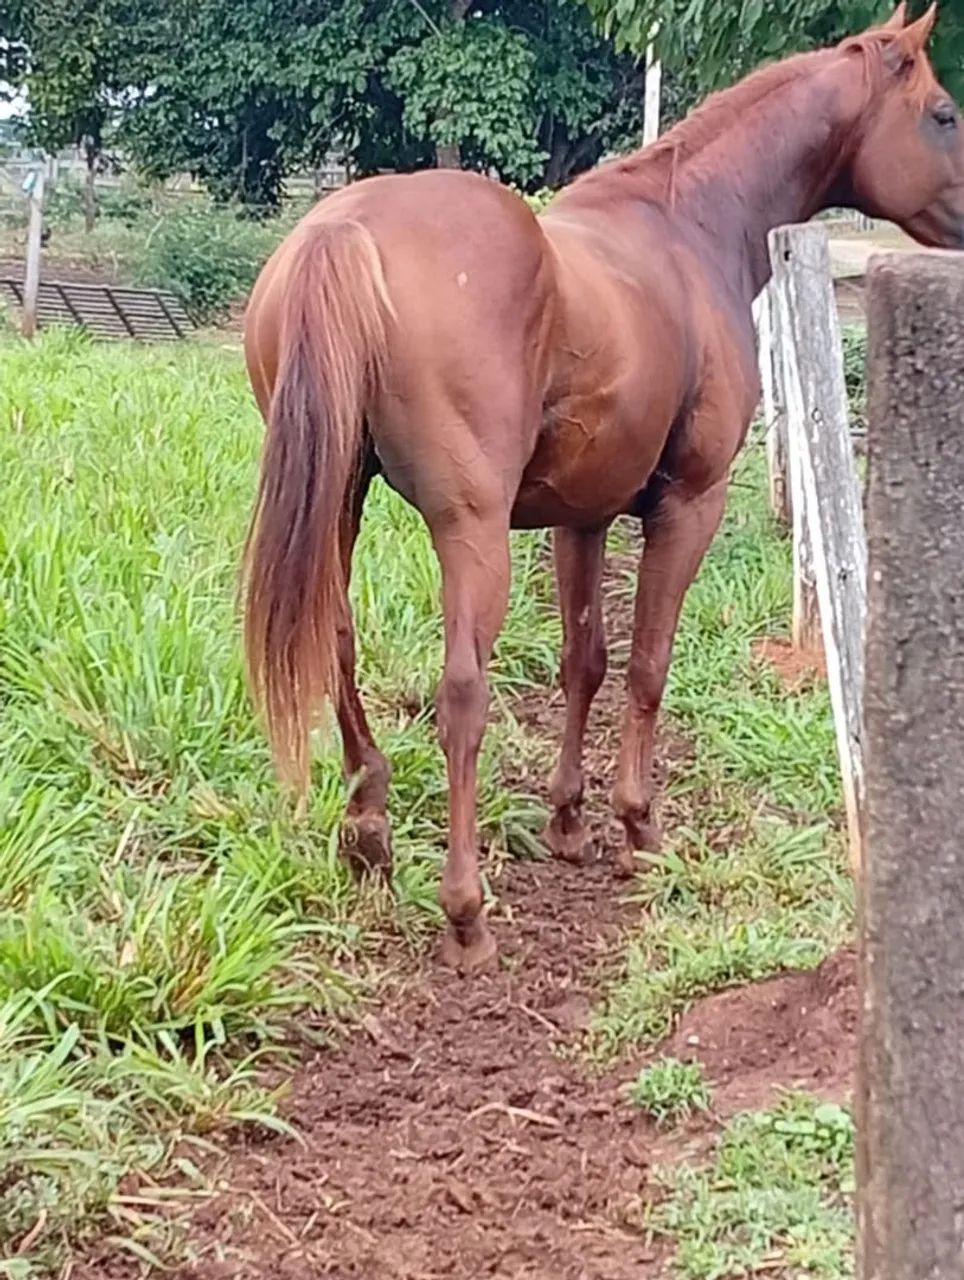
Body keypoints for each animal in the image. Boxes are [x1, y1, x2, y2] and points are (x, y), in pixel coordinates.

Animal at [242, 3, 964, 972]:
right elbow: (648, 664)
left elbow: (582, 661)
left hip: (341, 510)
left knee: (339, 645)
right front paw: (637, 829)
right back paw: (466, 915)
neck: (689, 227)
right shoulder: (687, 505)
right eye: (943, 115)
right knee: (462, 695)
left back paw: (370, 831)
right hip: (468, 531)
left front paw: (568, 822)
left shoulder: (579, 519)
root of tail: (343, 229)